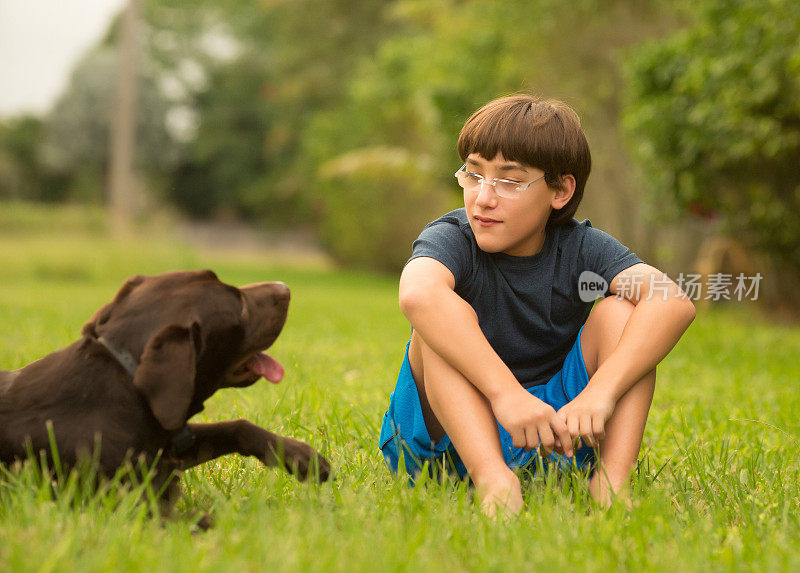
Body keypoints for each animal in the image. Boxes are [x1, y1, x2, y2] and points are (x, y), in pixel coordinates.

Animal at [0, 270, 330, 512]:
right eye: (239, 304)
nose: (284, 287)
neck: (126, 381)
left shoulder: (171, 443)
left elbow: (237, 426)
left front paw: (303, 457)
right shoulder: (139, 507)